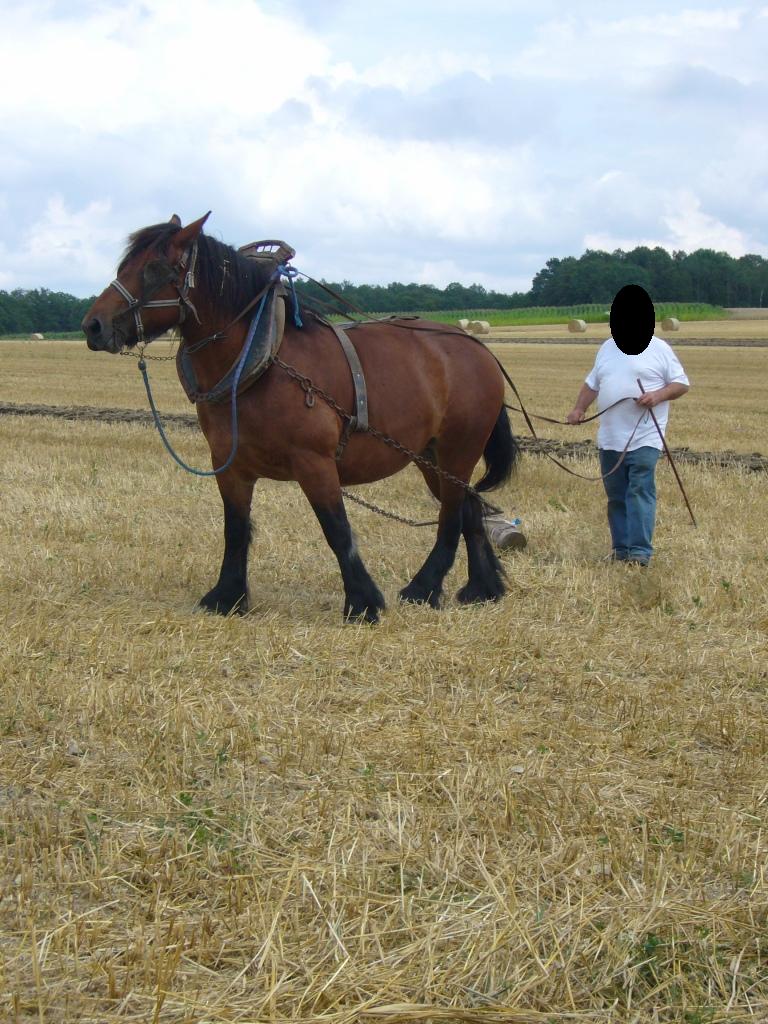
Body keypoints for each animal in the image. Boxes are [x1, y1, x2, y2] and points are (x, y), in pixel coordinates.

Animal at [81, 211, 520, 618]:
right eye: (124, 265)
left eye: (154, 269)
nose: (93, 326)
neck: (261, 361)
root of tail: (477, 347)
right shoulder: (229, 465)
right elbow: (235, 530)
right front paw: (227, 596)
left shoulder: (315, 462)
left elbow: (337, 530)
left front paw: (363, 602)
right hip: (430, 455)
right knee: (469, 509)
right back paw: (482, 588)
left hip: (459, 447)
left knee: (451, 516)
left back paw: (424, 588)